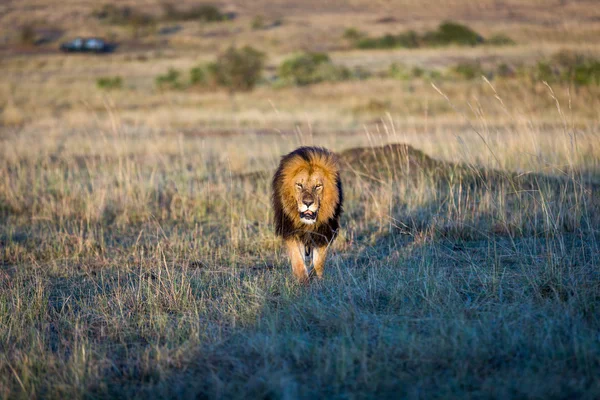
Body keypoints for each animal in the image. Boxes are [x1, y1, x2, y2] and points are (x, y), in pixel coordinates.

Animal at [270, 147, 342, 282]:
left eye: (318, 186)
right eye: (299, 185)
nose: (308, 203)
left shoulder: (323, 232)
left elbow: (319, 261)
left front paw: (318, 279)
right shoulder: (291, 231)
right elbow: (298, 261)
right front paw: (303, 281)